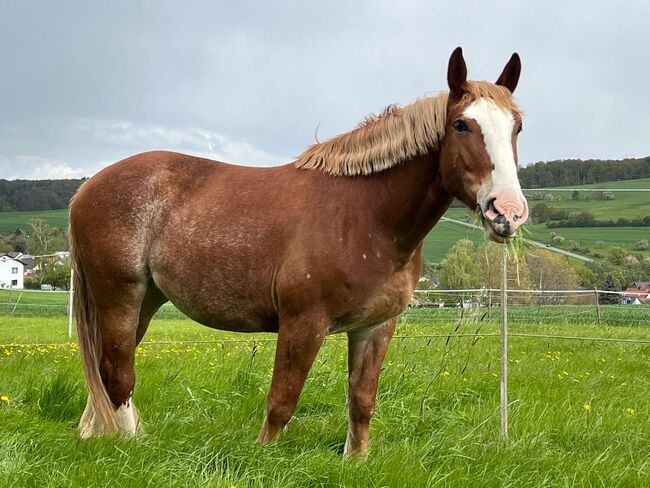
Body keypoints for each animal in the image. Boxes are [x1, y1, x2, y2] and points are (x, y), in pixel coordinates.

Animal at [69, 47, 528, 456]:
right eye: (461, 125)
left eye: (517, 126)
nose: (507, 212)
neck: (366, 216)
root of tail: (86, 189)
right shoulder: (303, 324)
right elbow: (281, 404)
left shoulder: (376, 327)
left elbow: (362, 404)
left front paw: (354, 460)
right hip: (120, 295)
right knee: (117, 372)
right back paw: (128, 444)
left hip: (146, 298)